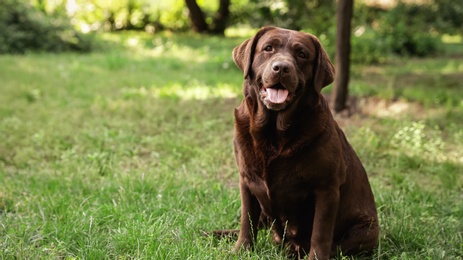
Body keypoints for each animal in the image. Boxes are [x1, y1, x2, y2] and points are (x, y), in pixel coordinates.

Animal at [230, 26, 378, 260]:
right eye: (268, 48)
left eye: (301, 54)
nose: (281, 68)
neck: (273, 133)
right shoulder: (246, 180)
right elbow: (247, 221)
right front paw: (241, 250)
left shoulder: (326, 187)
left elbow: (320, 232)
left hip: (366, 229)